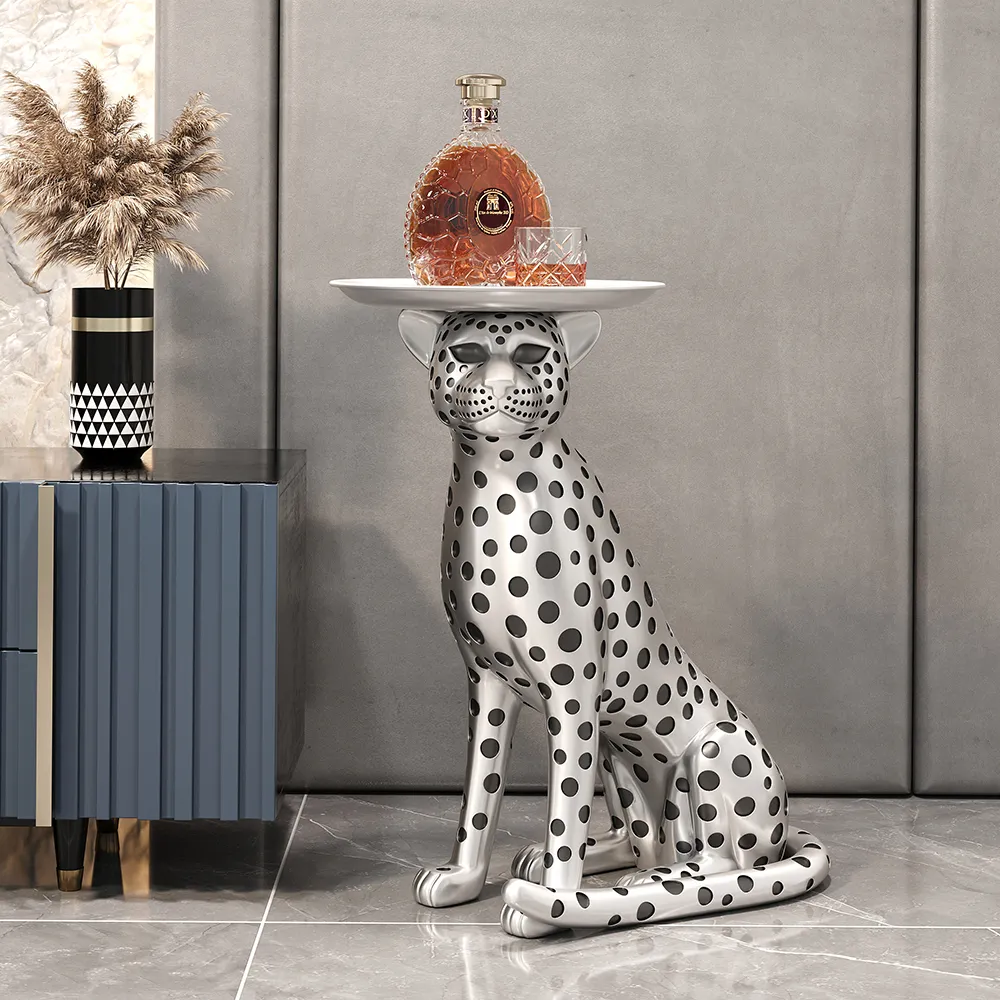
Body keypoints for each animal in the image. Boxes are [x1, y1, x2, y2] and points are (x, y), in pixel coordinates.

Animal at [398, 306, 830, 938]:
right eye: (469, 351)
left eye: (531, 353)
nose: (500, 387)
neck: (496, 478)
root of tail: (780, 831)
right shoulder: (488, 683)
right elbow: (478, 799)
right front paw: (461, 880)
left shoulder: (573, 694)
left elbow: (564, 815)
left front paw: (549, 905)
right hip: (616, 751)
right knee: (639, 838)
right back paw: (605, 859)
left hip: (714, 749)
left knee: (724, 863)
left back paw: (656, 881)